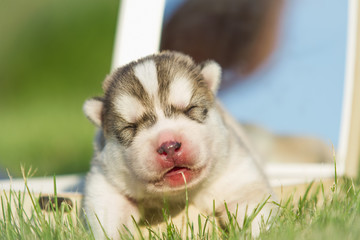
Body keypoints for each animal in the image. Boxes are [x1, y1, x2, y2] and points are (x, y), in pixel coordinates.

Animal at [82, 50, 272, 238]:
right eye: (131, 127)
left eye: (190, 109)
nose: (169, 146)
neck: (178, 195)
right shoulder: (106, 185)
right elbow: (110, 220)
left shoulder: (238, 178)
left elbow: (253, 211)